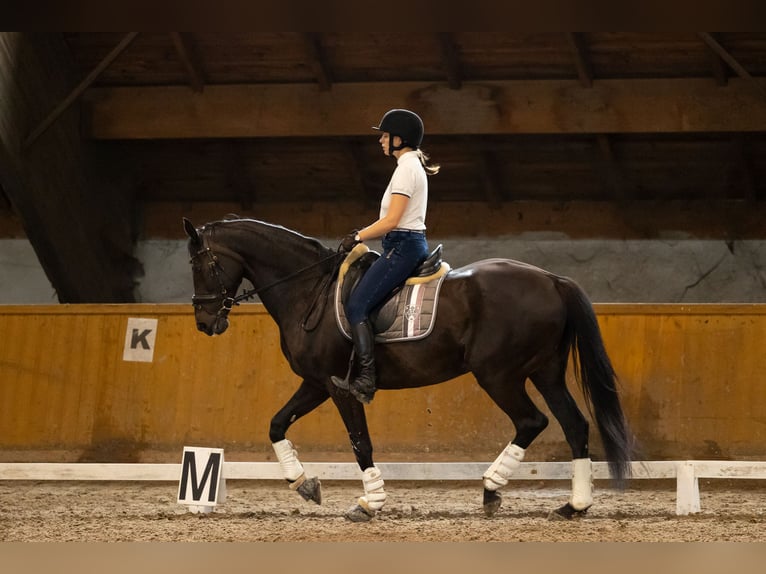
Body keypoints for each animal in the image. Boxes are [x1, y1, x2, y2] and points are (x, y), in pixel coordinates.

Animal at [184, 216, 636, 520]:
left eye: (200, 265)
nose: (205, 323)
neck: (308, 290)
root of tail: (552, 279)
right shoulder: (316, 382)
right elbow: (277, 424)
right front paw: (305, 485)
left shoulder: (339, 387)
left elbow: (360, 443)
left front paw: (369, 503)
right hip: (545, 372)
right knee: (575, 425)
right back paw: (574, 505)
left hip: (499, 374)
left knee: (532, 421)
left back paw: (492, 488)